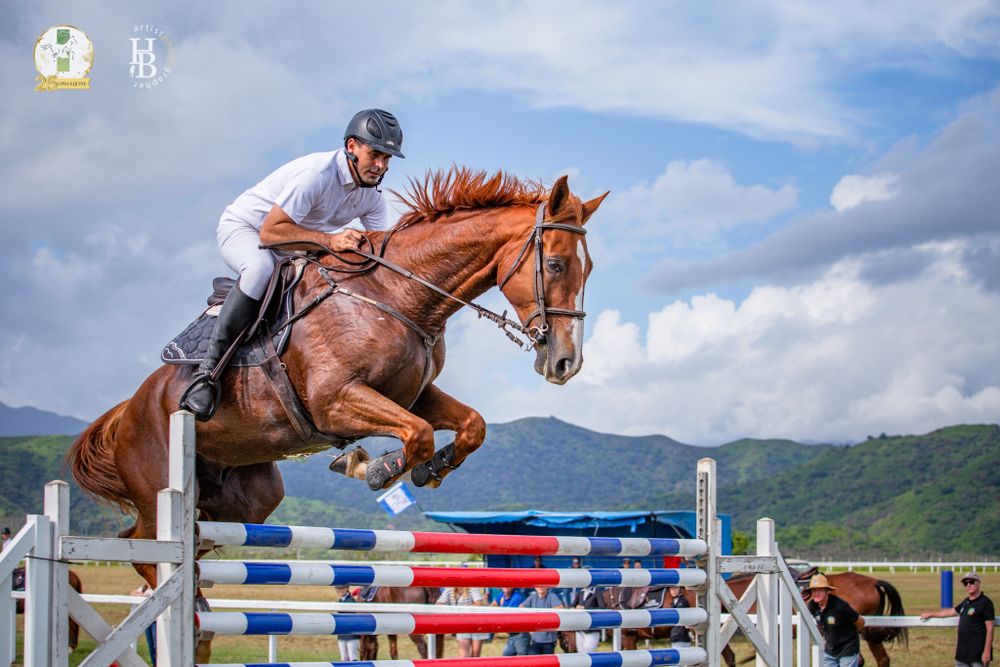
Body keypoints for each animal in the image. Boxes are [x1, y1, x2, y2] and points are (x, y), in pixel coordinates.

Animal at [67, 168, 606, 660]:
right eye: (556, 264)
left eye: (589, 269)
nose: (566, 363)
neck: (397, 295)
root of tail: (126, 410)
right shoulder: (337, 399)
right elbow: (417, 434)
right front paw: (376, 467)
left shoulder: (411, 394)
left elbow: (469, 425)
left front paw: (427, 468)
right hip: (157, 475)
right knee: (144, 542)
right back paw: (188, 606)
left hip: (248, 497)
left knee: (194, 537)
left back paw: (200, 613)